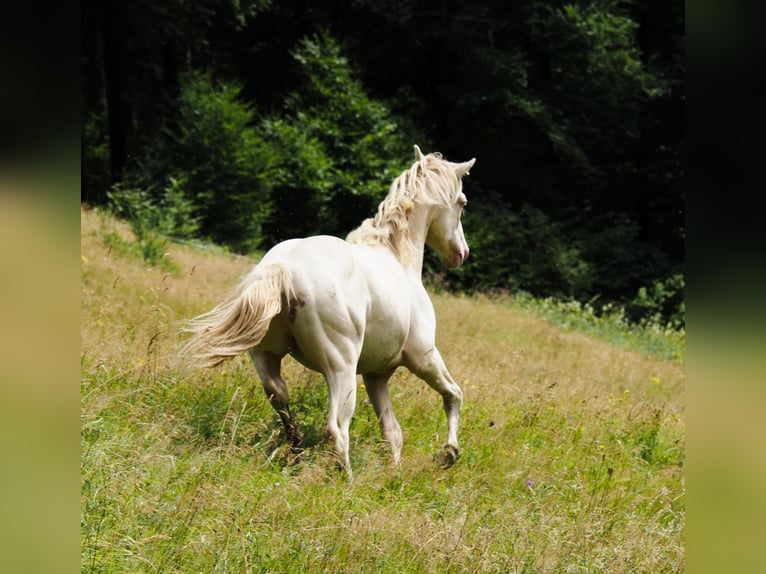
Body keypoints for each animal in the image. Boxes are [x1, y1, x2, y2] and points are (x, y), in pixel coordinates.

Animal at [180, 145, 476, 479]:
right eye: (462, 203)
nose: (461, 254)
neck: (398, 258)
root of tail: (283, 268)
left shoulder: (377, 375)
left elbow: (392, 432)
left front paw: (396, 473)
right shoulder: (423, 357)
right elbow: (453, 394)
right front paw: (449, 453)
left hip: (267, 357)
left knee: (280, 397)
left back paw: (295, 454)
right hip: (341, 369)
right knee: (336, 427)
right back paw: (345, 481)